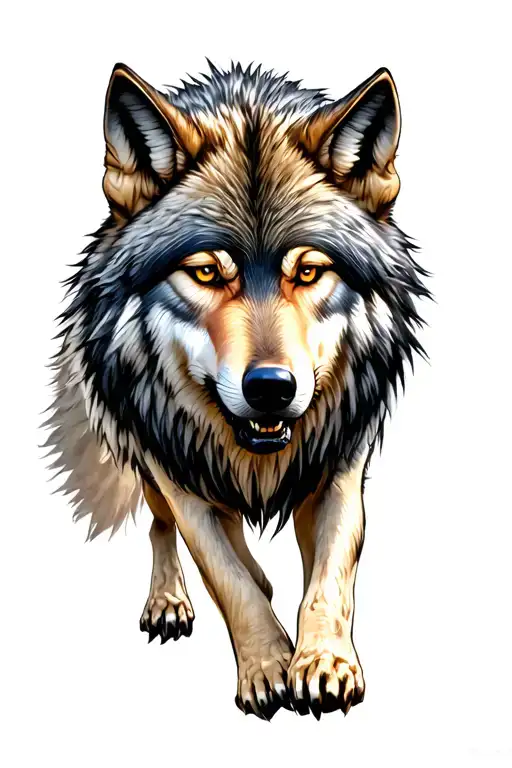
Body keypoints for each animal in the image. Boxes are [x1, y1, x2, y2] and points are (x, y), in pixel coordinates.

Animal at [45, 61, 428, 720]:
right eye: (205, 271)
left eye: (309, 270)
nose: (271, 388)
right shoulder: (174, 465)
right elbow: (227, 574)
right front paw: (268, 664)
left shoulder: (341, 459)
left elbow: (330, 575)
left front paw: (322, 661)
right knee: (168, 528)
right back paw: (171, 600)